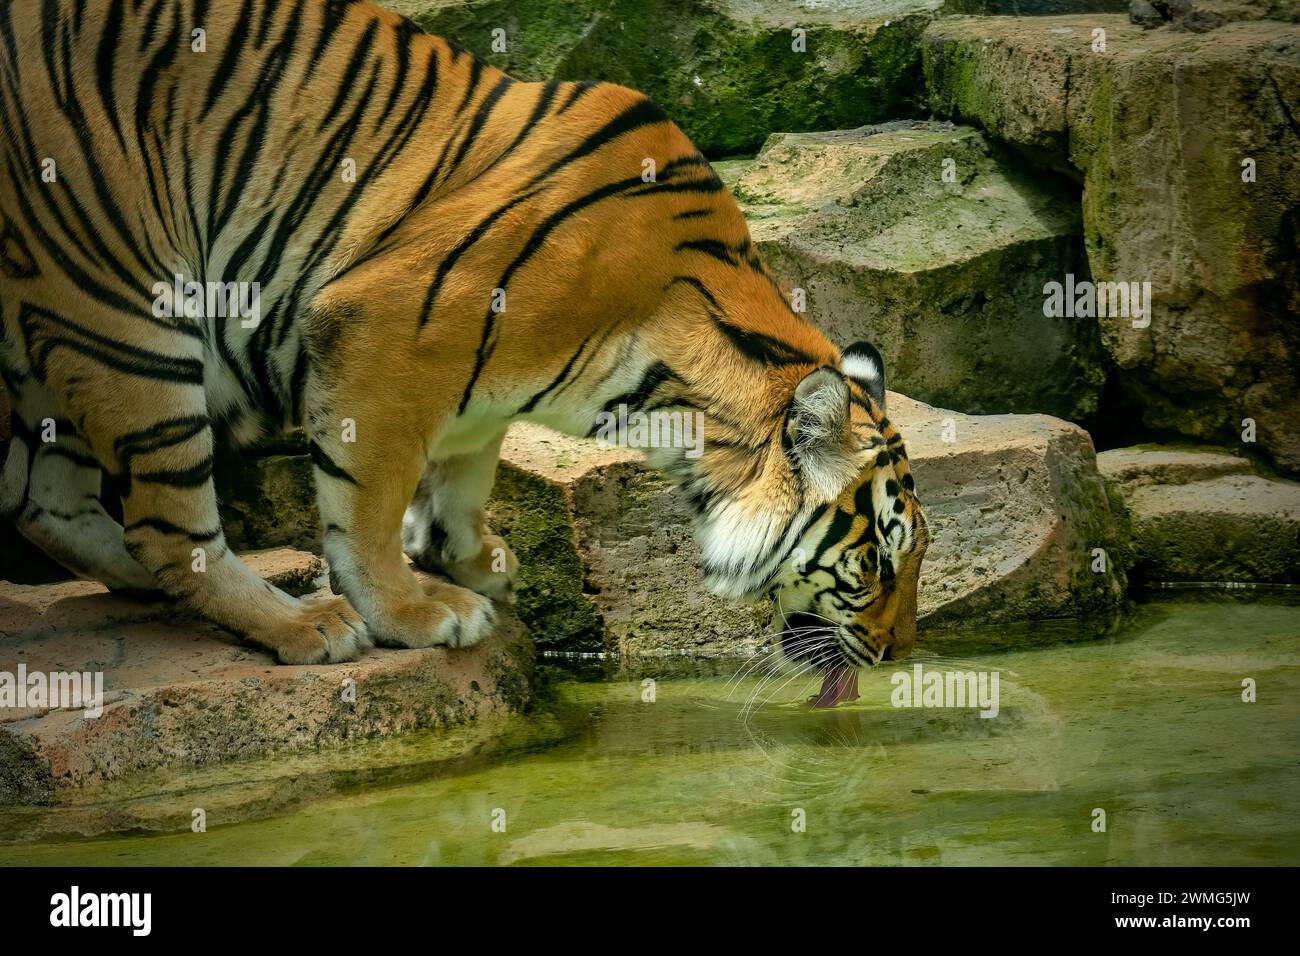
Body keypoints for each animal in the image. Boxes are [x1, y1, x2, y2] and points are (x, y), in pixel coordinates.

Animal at [0, 0, 928, 688]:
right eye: (878, 563)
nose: (899, 655)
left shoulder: (476, 385)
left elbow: (466, 468)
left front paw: (469, 557)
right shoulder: (376, 332)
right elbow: (367, 505)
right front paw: (415, 609)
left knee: (46, 499)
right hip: (130, 310)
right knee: (164, 528)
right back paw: (300, 620)